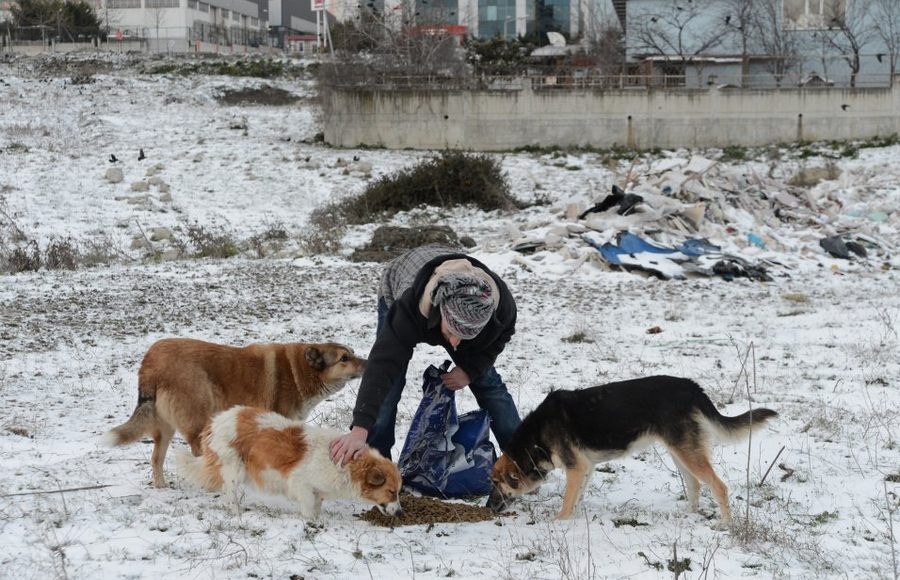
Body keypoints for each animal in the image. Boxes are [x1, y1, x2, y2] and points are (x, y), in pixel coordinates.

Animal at [100, 338, 364, 488]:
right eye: (344, 358)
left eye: (352, 352)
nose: (368, 362)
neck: (299, 371)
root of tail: (149, 362)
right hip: (198, 416)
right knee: (198, 452)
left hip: (165, 426)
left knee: (156, 458)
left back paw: (162, 487)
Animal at [177, 404, 400, 520]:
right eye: (391, 491)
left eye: (397, 492)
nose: (400, 512)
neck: (347, 467)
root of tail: (215, 421)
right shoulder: (301, 484)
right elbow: (308, 507)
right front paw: (311, 523)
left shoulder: (318, 491)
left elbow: (317, 505)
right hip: (235, 468)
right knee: (229, 492)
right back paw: (236, 512)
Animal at [488, 376, 776, 520]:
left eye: (496, 483)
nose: (489, 506)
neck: (536, 438)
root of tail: (692, 388)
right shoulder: (585, 468)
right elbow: (576, 497)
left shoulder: (576, 467)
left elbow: (567, 501)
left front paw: (561, 523)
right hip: (679, 452)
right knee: (695, 484)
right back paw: (689, 517)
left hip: (687, 453)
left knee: (719, 487)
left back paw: (725, 525)